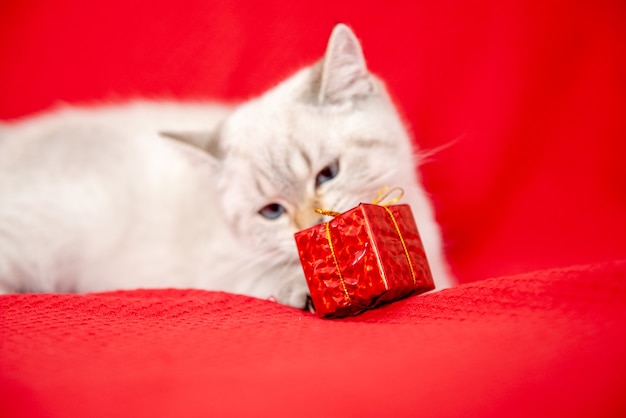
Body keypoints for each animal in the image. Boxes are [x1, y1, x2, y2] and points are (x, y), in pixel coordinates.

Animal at [0, 24, 450, 308]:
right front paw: (302, 289)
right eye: (272, 211)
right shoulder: (220, 271)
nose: (311, 227)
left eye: (327, 174)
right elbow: (261, 279)